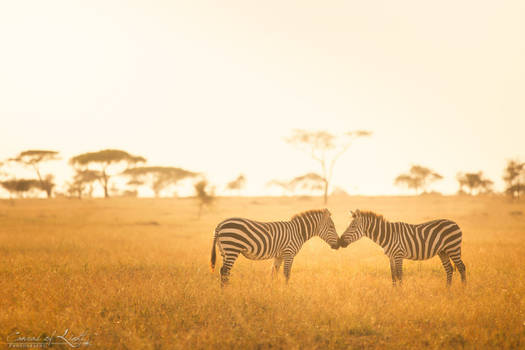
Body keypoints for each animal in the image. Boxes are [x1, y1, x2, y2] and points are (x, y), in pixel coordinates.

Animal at [210, 208, 340, 284]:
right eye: (331, 227)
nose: (339, 244)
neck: (298, 232)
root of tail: (220, 224)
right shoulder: (289, 253)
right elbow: (287, 274)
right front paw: (286, 292)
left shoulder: (279, 256)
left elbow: (274, 273)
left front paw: (273, 290)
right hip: (232, 248)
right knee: (225, 270)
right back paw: (226, 292)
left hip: (225, 251)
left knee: (224, 271)